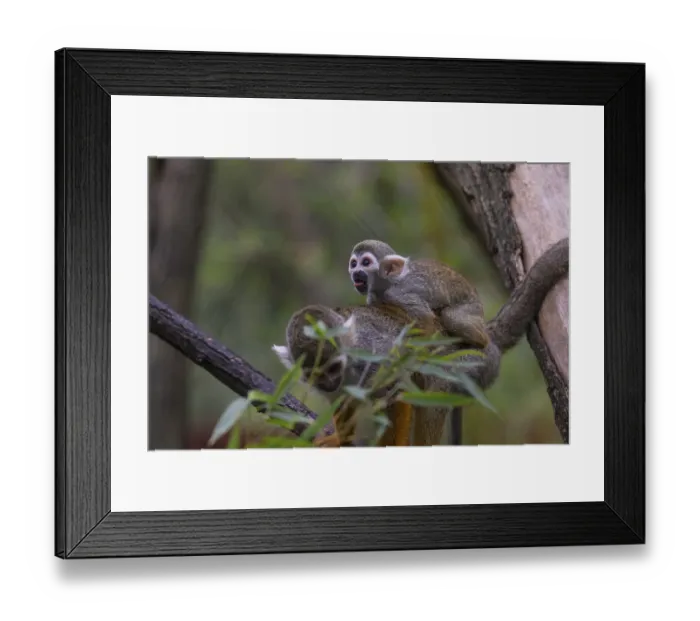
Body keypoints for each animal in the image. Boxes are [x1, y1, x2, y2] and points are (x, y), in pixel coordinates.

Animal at [348, 240, 490, 351]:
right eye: (354, 264)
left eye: (366, 262)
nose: (356, 272)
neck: (389, 283)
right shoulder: (373, 296)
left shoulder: (397, 294)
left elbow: (426, 319)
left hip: (472, 307)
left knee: (451, 317)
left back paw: (480, 341)